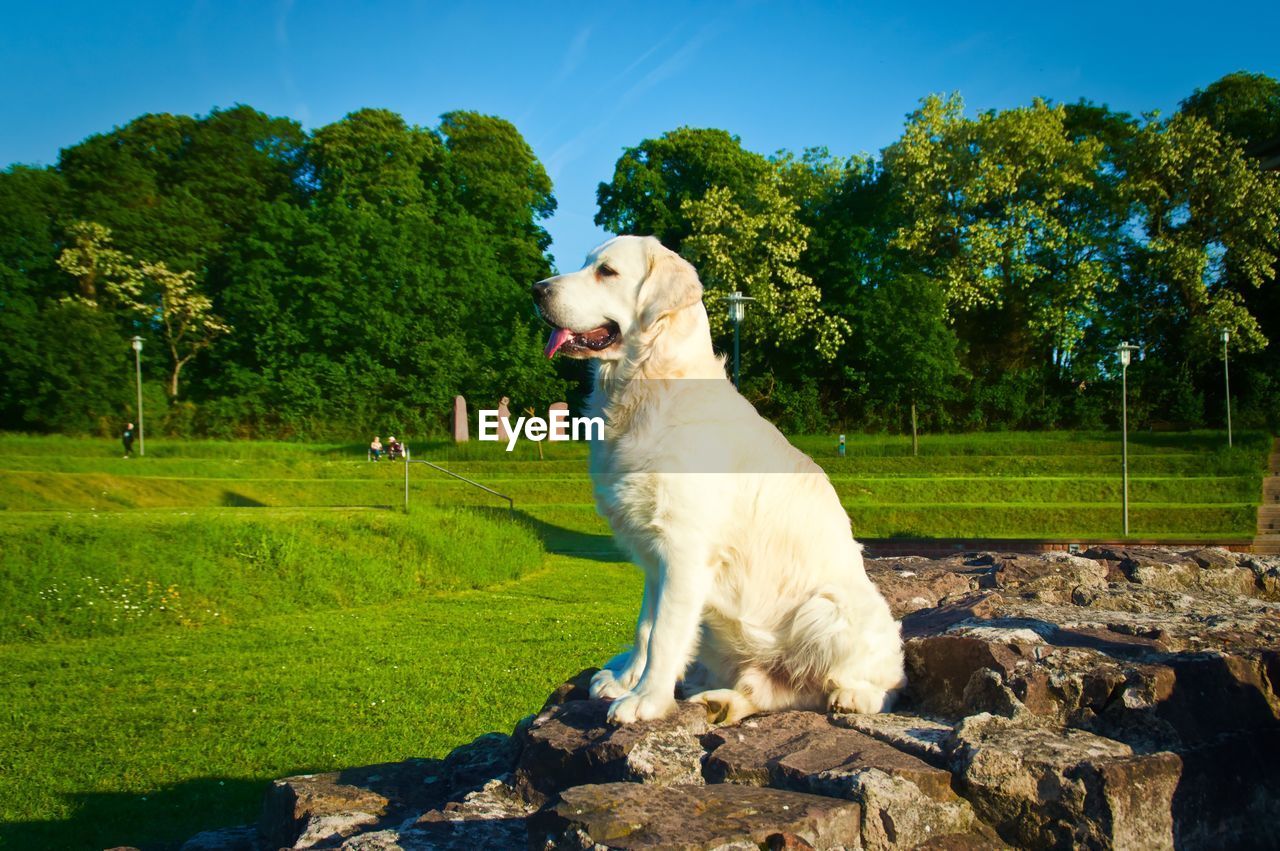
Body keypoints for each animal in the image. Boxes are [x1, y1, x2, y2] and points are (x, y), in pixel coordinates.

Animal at [535, 234, 906, 721]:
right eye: (585, 264)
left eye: (607, 272)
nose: (537, 290)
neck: (647, 384)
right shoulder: (655, 557)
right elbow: (645, 626)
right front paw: (625, 680)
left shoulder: (685, 551)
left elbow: (665, 634)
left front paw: (647, 700)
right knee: (774, 692)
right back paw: (721, 702)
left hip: (825, 609)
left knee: (871, 685)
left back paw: (854, 697)